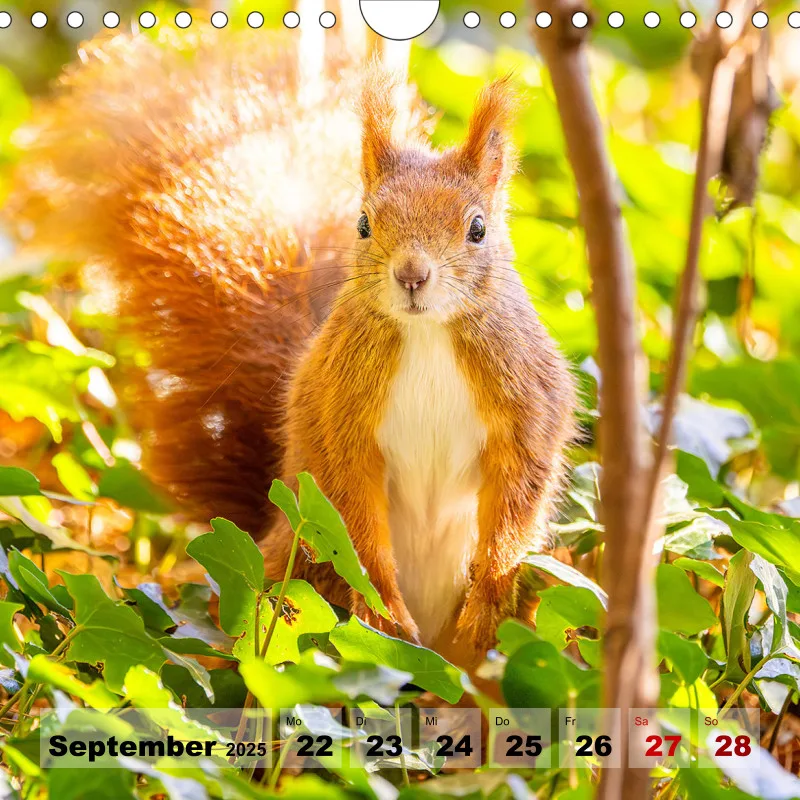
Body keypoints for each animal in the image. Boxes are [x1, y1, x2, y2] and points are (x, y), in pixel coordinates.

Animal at [7, 26, 577, 665]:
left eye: (478, 228)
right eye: (363, 223)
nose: (412, 274)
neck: (426, 333)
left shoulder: (528, 398)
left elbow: (520, 490)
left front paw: (487, 596)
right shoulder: (338, 411)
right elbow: (348, 508)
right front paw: (381, 608)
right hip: (288, 575)